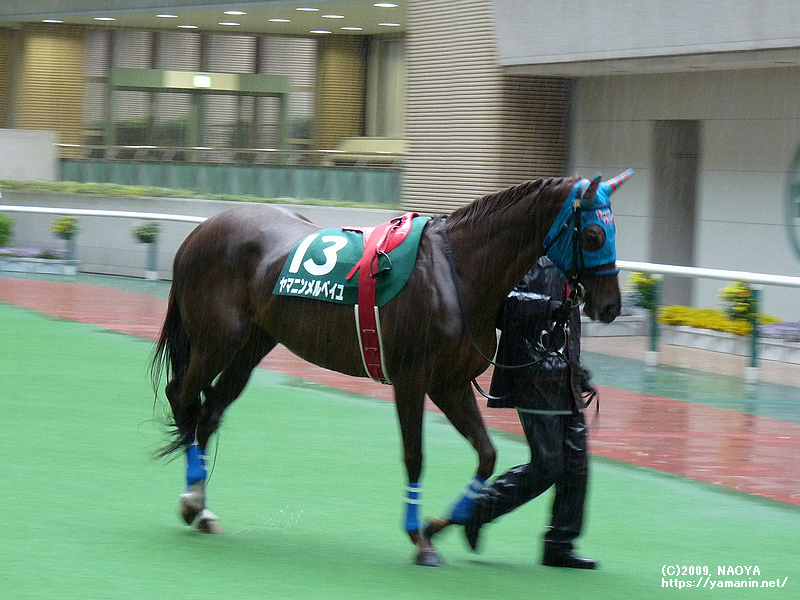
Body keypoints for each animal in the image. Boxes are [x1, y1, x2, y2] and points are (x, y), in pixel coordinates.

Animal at [151, 170, 632, 567]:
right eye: (594, 234)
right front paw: (419, 538)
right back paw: (192, 498)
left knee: (209, 411)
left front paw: (441, 526)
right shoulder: (412, 379)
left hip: (251, 346)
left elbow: (487, 455)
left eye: (614, 230)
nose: (611, 306)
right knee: (183, 396)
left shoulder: (450, 384)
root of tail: (200, 231)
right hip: (216, 342)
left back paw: (201, 506)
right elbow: (415, 456)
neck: (457, 273)